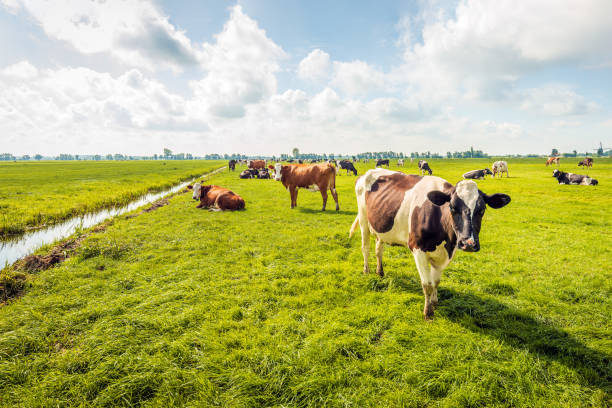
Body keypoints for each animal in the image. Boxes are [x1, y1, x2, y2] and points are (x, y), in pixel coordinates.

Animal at [350, 168, 512, 318]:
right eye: (452, 207)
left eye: (482, 209)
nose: (469, 243)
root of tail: (368, 172)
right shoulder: (418, 249)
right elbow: (427, 284)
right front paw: (428, 312)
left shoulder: (445, 253)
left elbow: (436, 281)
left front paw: (435, 302)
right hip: (363, 219)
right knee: (365, 247)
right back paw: (366, 271)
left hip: (381, 226)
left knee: (379, 249)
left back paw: (380, 272)